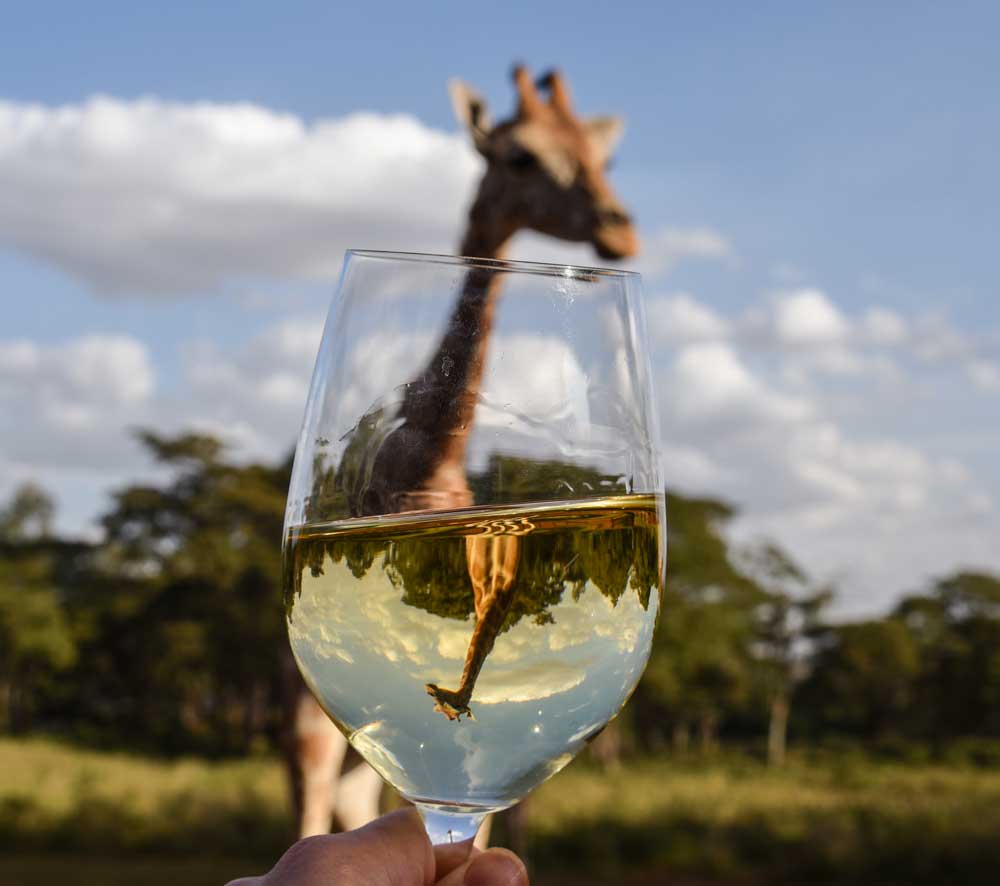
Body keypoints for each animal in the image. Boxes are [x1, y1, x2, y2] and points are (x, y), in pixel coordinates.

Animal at [286, 64, 639, 839]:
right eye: (520, 155)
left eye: (601, 157)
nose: (620, 229)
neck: (427, 464)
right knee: (321, 781)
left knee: (369, 794)